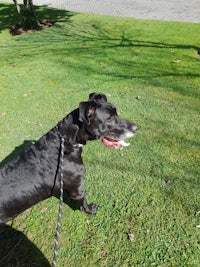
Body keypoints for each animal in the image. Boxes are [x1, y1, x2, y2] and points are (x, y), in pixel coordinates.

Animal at [0, 94, 137, 224]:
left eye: (116, 113)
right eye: (109, 119)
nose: (136, 128)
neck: (66, 141)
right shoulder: (77, 189)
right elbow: (83, 201)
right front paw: (89, 210)